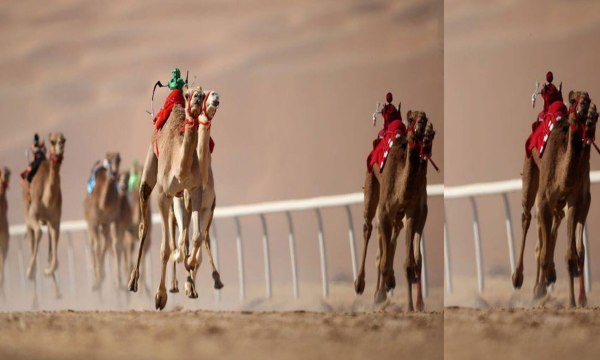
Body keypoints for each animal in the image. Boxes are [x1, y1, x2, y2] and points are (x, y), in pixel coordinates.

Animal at [84, 151, 122, 290]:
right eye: (109, 160)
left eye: (119, 160)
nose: (115, 173)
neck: (103, 203)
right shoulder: (93, 222)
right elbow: (96, 246)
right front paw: (97, 280)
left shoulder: (113, 219)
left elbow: (115, 245)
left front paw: (118, 281)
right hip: (91, 224)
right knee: (94, 244)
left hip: (104, 225)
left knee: (104, 243)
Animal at [127, 85, 221, 310]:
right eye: (190, 94)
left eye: (203, 93)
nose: (199, 98)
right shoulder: (164, 194)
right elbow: (166, 249)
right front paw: (160, 297)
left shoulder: (196, 193)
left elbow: (196, 238)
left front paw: (189, 275)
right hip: (149, 172)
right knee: (144, 227)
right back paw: (133, 281)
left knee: (190, 238)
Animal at [356, 109, 436, 310]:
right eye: (412, 118)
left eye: (432, 131)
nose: (421, 125)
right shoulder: (385, 211)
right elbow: (384, 260)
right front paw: (379, 295)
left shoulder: (413, 212)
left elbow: (410, 262)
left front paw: (411, 306)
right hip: (371, 182)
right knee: (368, 227)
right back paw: (360, 284)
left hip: (400, 215)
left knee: (395, 238)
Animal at [512, 91, 596, 308]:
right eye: (575, 101)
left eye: (591, 103)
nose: (585, 109)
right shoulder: (544, 200)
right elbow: (543, 250)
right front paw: (540, 288)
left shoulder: (575, 200)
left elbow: (571, 253)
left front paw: (575, 301)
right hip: (530, 168)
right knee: (527, 217)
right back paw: (518, 278)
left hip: (561, 204)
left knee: (554, 233)